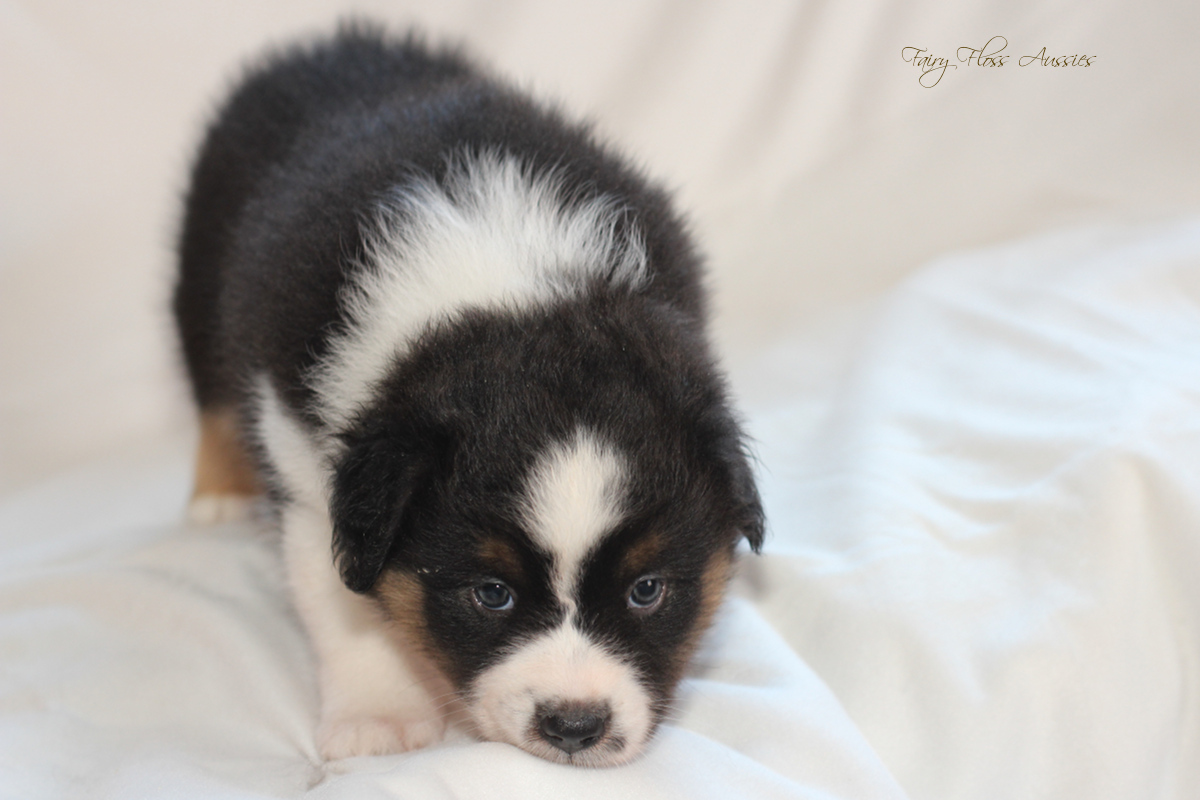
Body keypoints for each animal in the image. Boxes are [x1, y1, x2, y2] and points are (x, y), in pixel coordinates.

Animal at [174, 21, 763, 767]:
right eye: (492, 594)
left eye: (646, 590)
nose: (575, 727)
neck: (509, 286)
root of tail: (334, 40)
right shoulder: (305, 463)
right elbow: (342, 605)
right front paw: (379, 719)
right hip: (198, 278)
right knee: (211, 396)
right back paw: (218, 495)